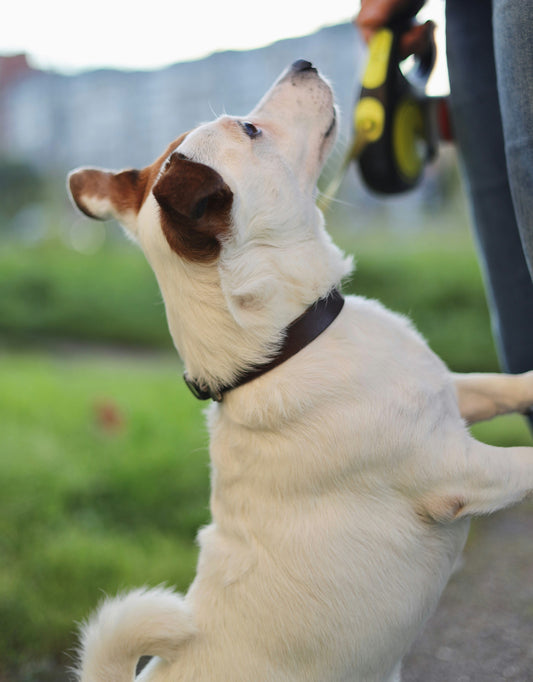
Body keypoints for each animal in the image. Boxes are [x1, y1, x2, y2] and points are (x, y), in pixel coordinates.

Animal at [68, 61, 532, 676]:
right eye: (249, 129)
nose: (302, 64)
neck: (287, 345)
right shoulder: (457, 470)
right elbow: (526, 461)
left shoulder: (453, 395)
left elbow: (505, 386)